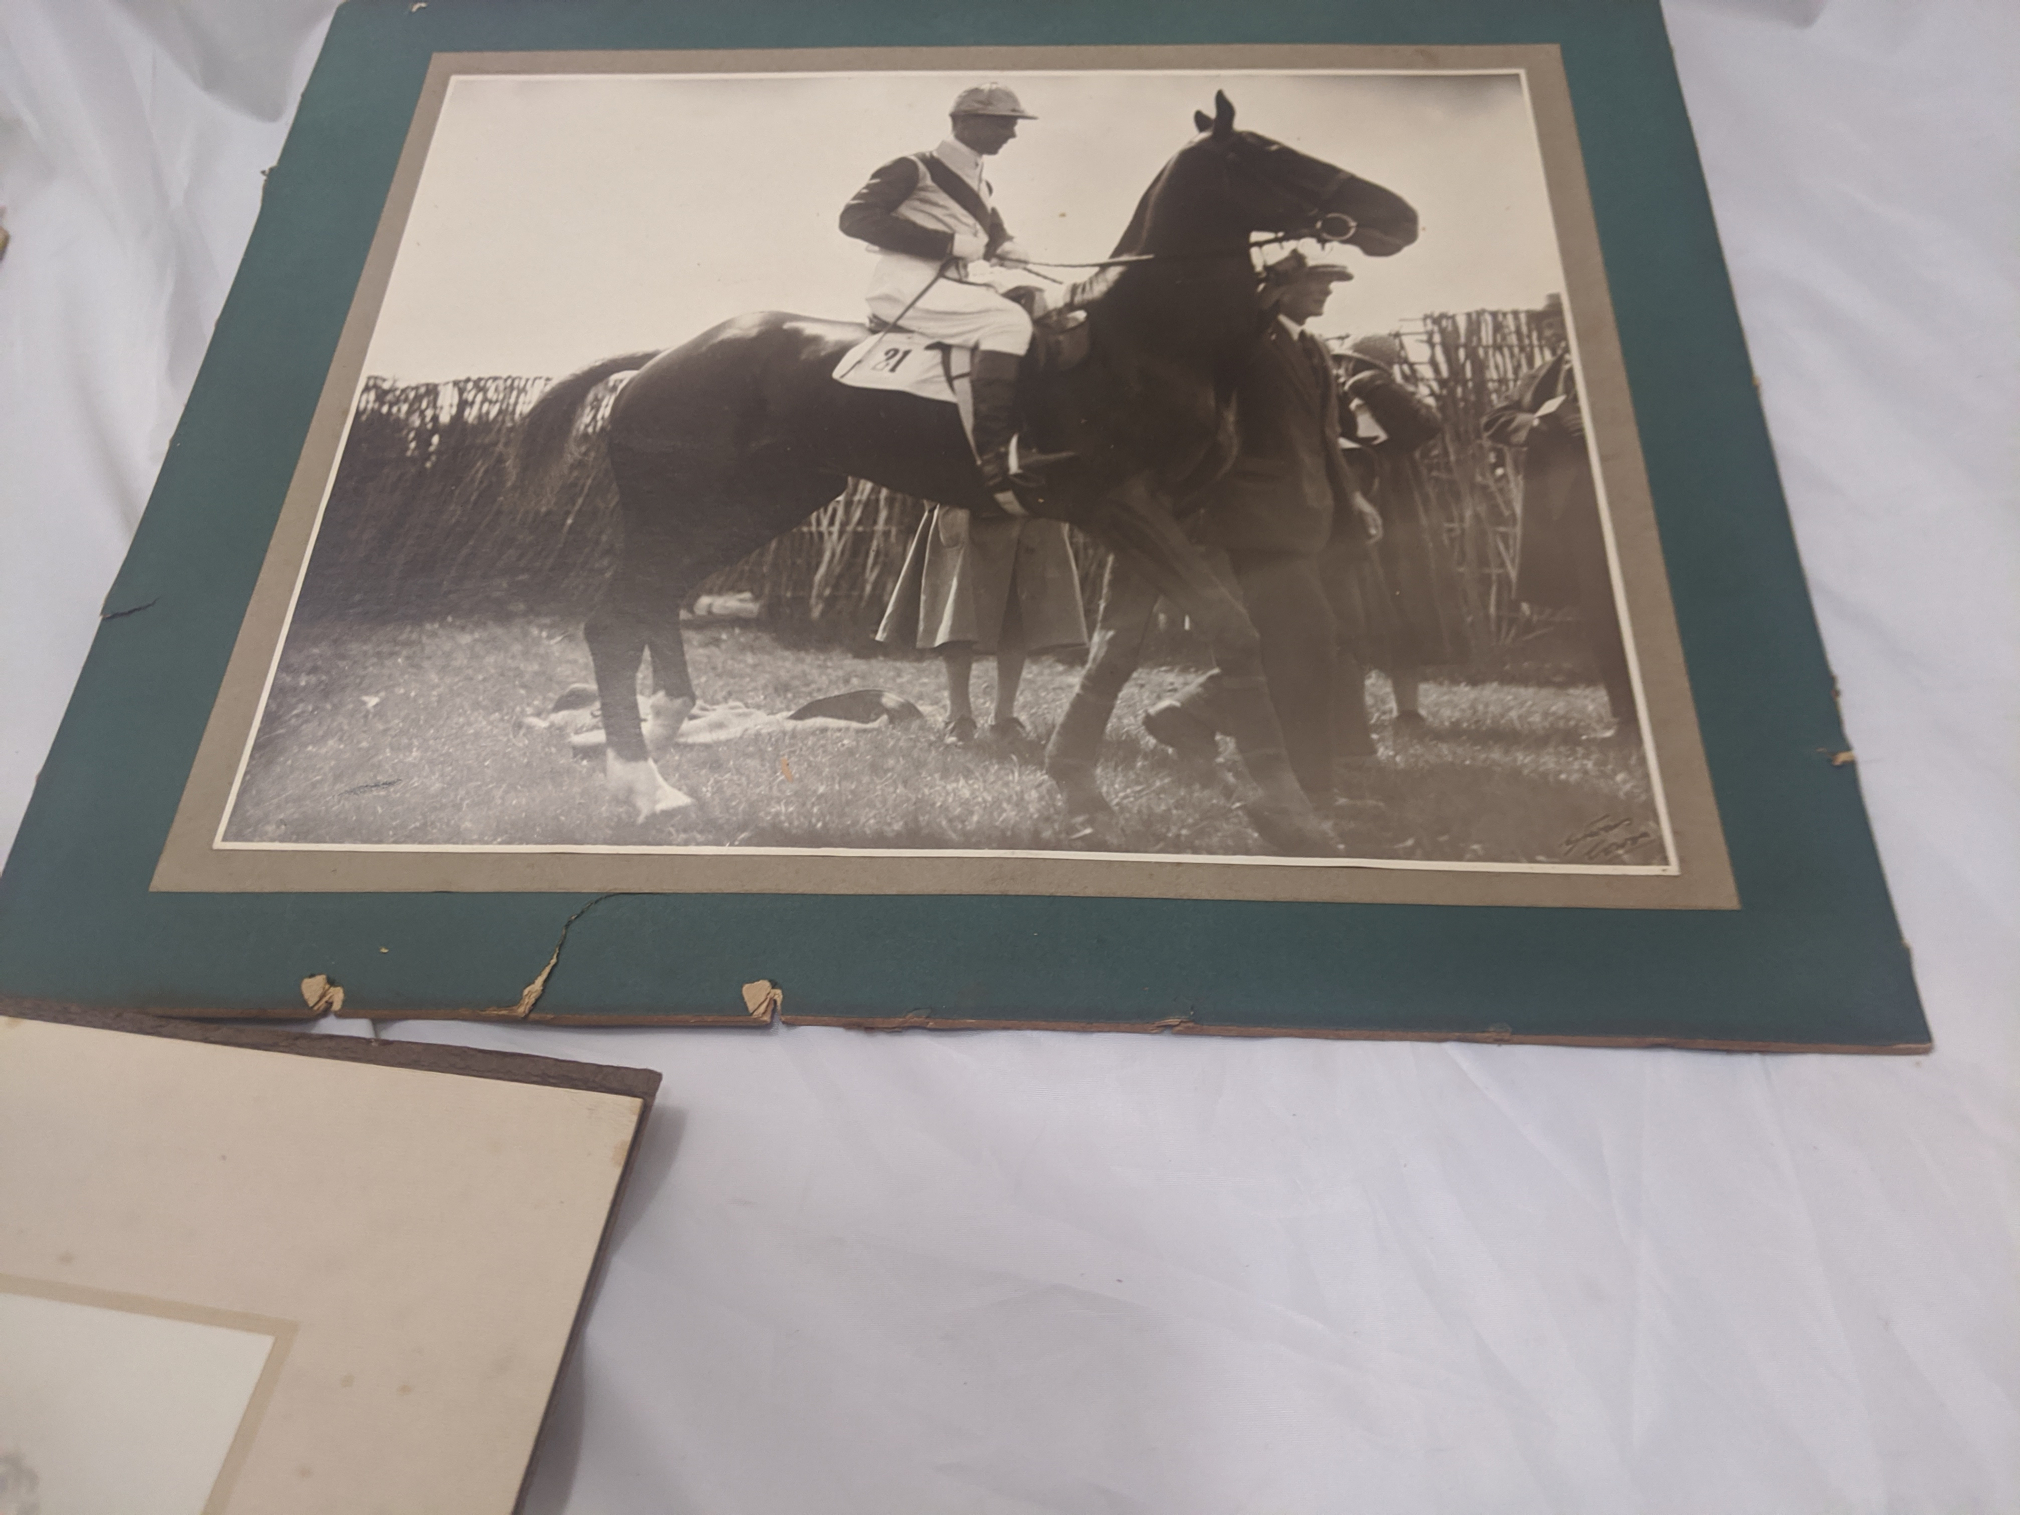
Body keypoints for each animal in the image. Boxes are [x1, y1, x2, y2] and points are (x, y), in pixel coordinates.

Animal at [513, 91, 1414, 856]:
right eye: (1270, 154)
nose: (1399, 215)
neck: (1147, 337)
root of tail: (665, 355)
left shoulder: (1164, 518)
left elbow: (1116, 654)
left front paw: (1079, 788)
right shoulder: (1124, 507)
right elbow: (1233, 629)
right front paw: (1290, 811)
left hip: (756, 507)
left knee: (651, 605)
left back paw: (652, 739)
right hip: (685, 512)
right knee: (616, 619)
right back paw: (646, 786)